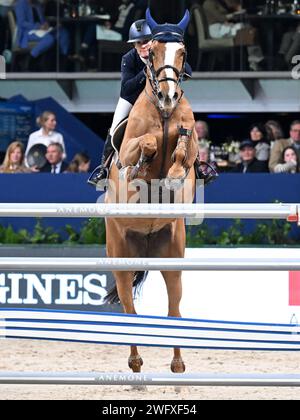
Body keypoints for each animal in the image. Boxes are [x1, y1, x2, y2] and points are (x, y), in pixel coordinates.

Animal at [104, 9, 198, 374]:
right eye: (153, 51)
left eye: (182, 52)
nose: (169, 96)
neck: (164, 114)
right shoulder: (131, 147)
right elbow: (145, 144)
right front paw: (143, 165)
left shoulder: (191, 142)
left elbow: (185, 146)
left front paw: (173, 172)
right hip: (120, 255)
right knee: (129, 308)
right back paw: (135, 361)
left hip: (171, 255)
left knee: (174, 308)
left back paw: (178, 364)